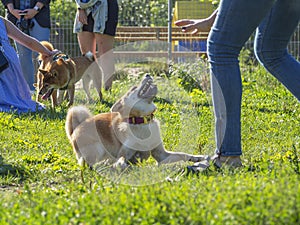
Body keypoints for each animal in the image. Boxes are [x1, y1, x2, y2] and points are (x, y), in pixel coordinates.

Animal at [65, 74, 206, 170]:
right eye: (134, 88)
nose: (147, 74)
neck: (142, 121)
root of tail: (75, 129)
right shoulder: (124, 152)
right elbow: (121, 161)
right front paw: (124, 165)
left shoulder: (161, 154)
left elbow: (183, 154)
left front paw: (198, 157)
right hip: (97, 148)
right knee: (88, 163)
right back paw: (103, 163)